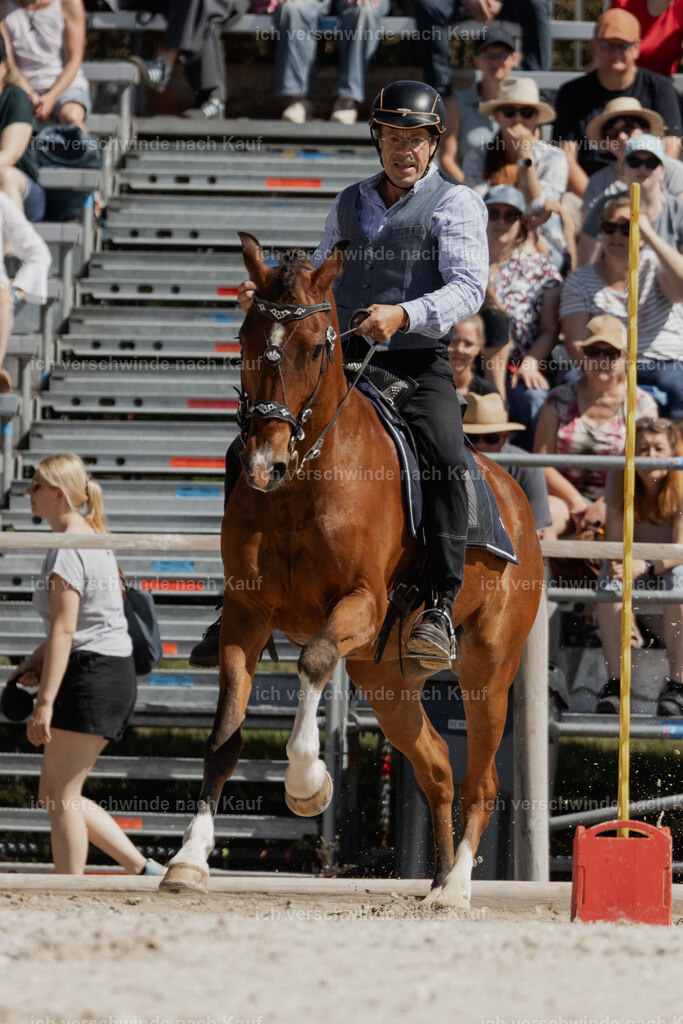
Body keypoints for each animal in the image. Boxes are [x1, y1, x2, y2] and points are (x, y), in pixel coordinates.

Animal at [160, 232, 544, 908]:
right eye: (245, 337)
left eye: (316, 348)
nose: (263, 464)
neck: (302, 483)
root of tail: (517, 500)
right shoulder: (246, 615)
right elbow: (224, 736)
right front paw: (188, 859)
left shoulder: (360, 604)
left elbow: (313, 661)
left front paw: (308, 782)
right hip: (383, 678)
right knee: (437, 765)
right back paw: (436, 878)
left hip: (488, 672)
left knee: (482, 780)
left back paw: (457, 886)